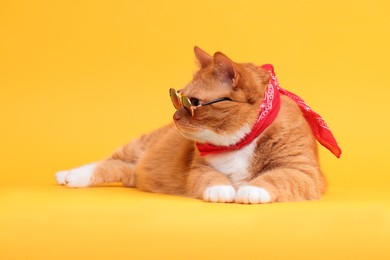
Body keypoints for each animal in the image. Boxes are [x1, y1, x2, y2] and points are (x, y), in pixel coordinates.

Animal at [55, 47, 342, 205]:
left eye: (192, 102)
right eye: (177, 97)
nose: (175, 117)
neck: (243, 139)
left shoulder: (302, 170)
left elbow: (277, 176)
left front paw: (251, 190)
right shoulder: (201, 169)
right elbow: (212, 178)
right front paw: (221, 190)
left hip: (131, 171)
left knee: (115, 167)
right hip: (137, 146)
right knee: (107, 161)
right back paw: (68, 174)